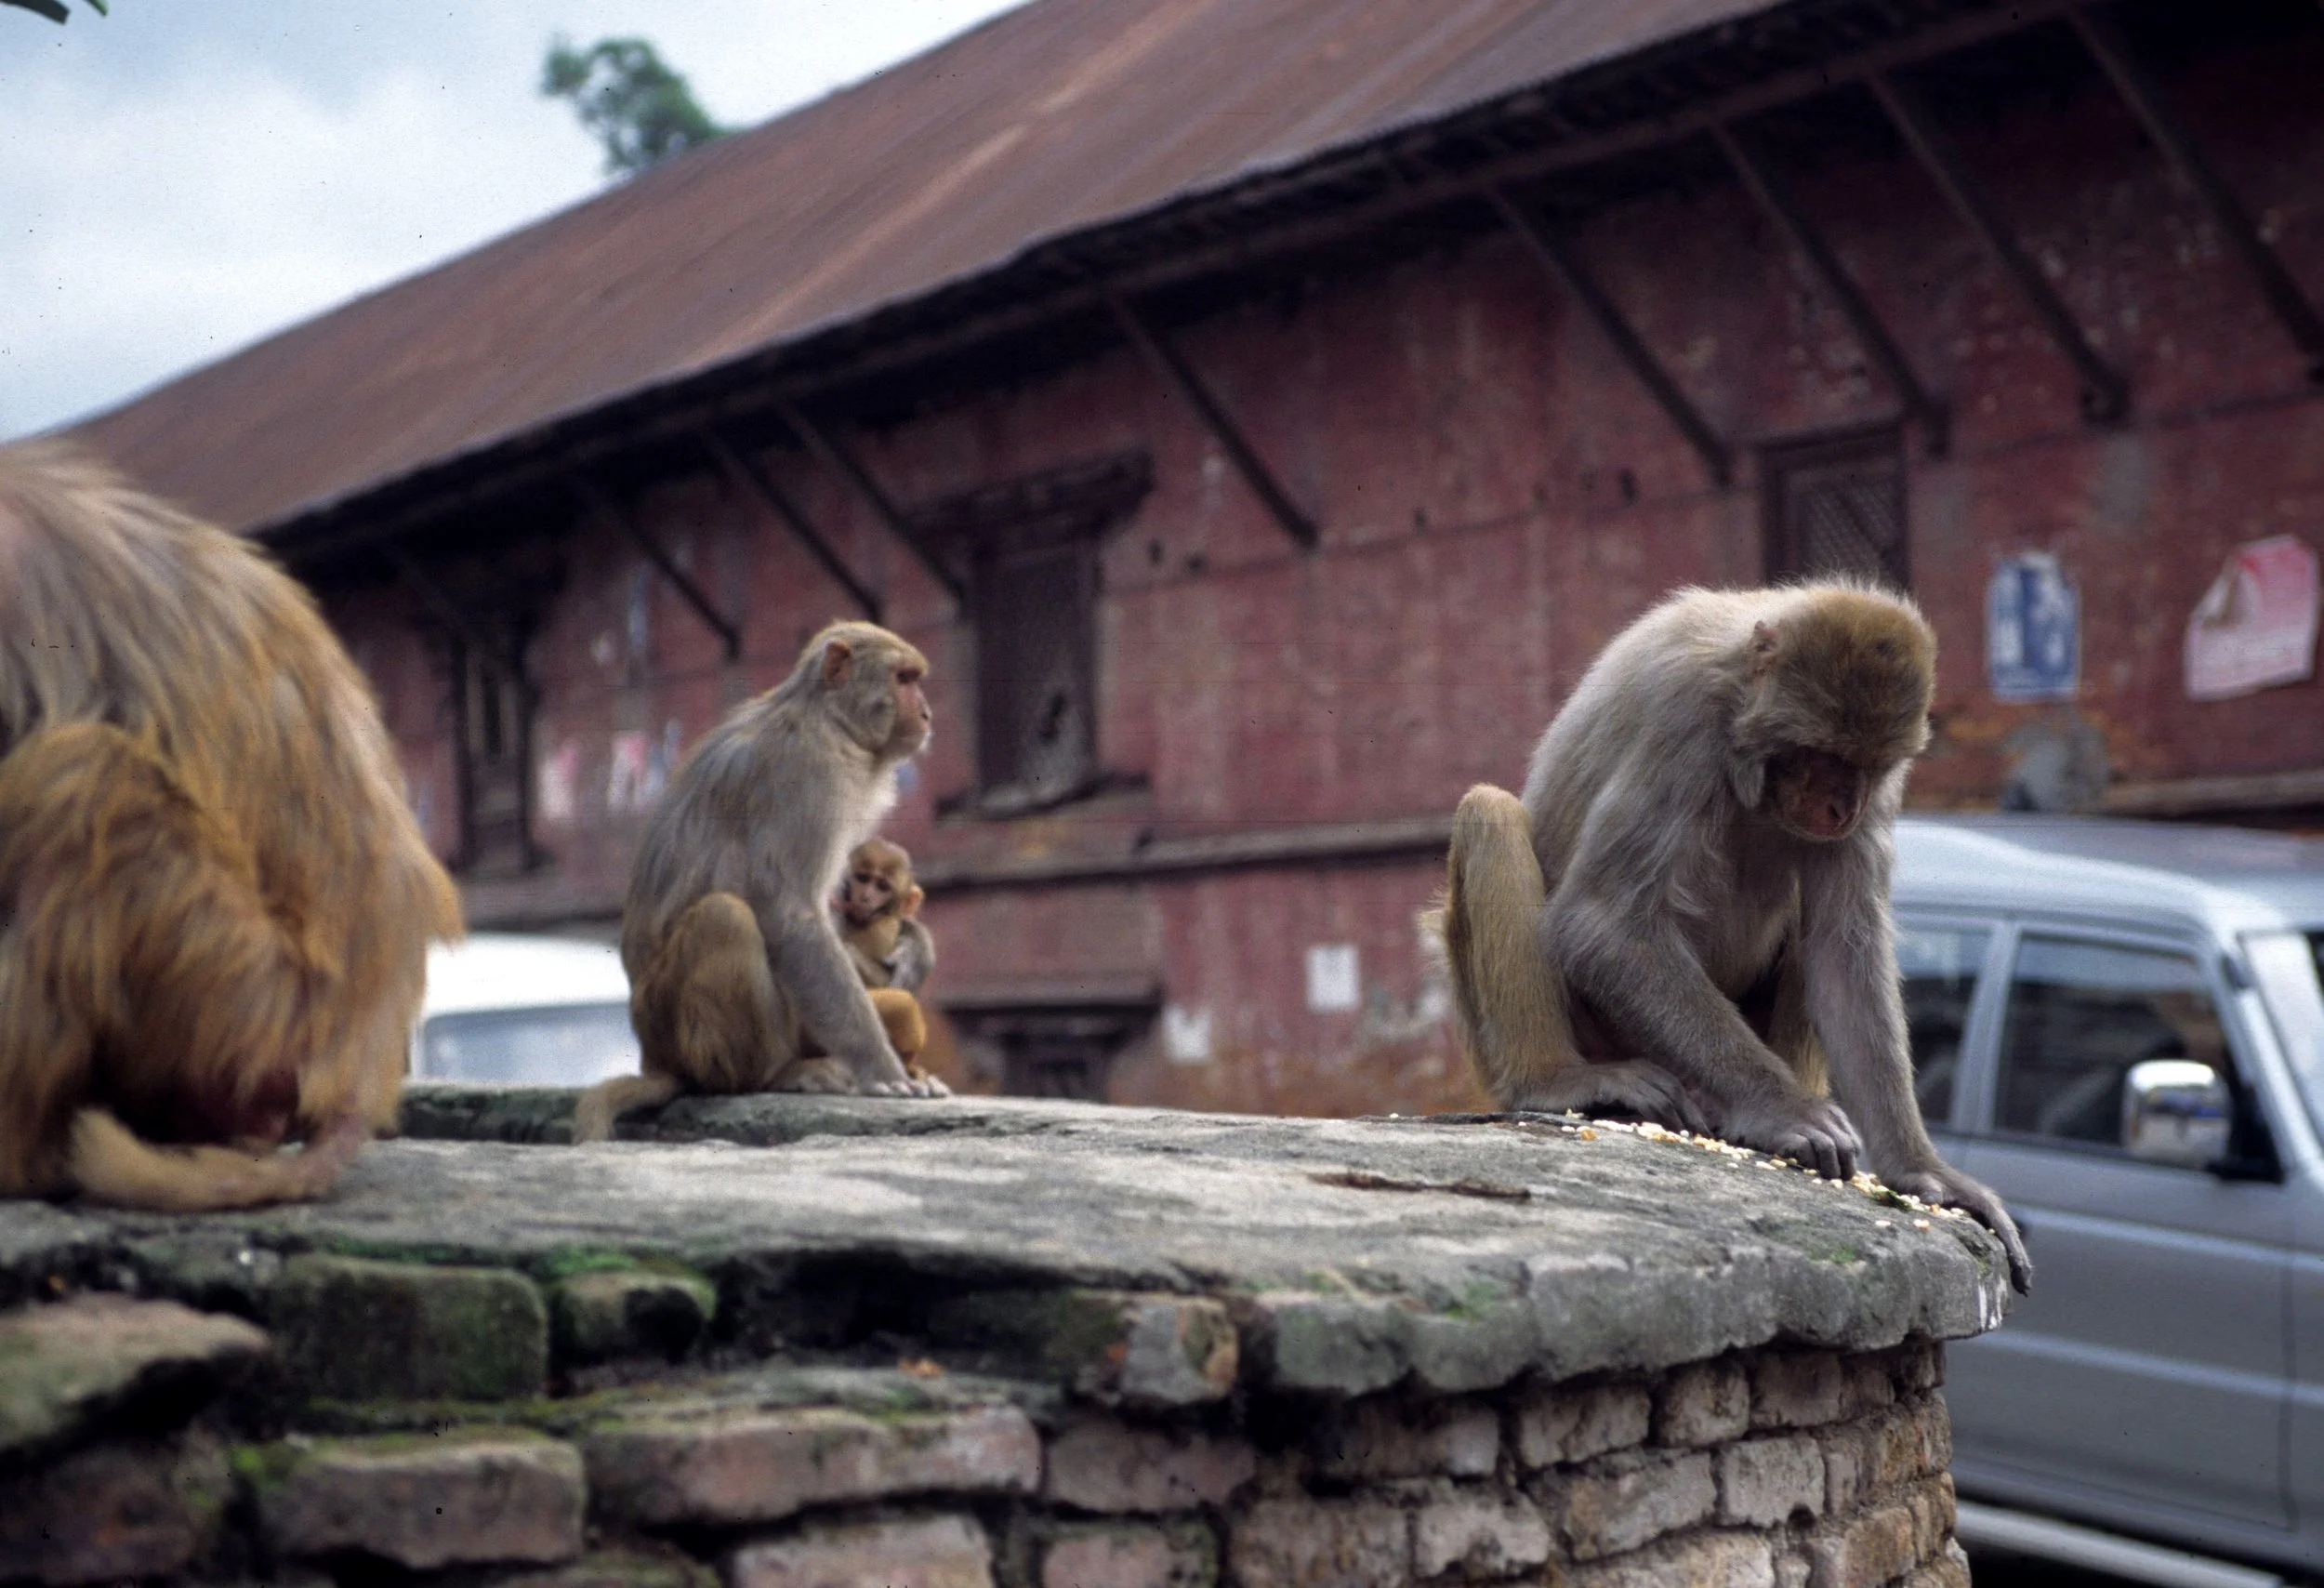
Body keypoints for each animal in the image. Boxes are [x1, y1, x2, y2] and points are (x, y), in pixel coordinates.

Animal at [1433, 579, 2031, 1291]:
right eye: (1820, 756)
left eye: (1867, 763)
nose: (1842, 808)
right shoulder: (1683, 718)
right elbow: (1603, 924)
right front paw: (1783, 1112)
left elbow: (1842, 947)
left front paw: (1920, 1170)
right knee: (1489, 812)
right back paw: (1556, 1079)